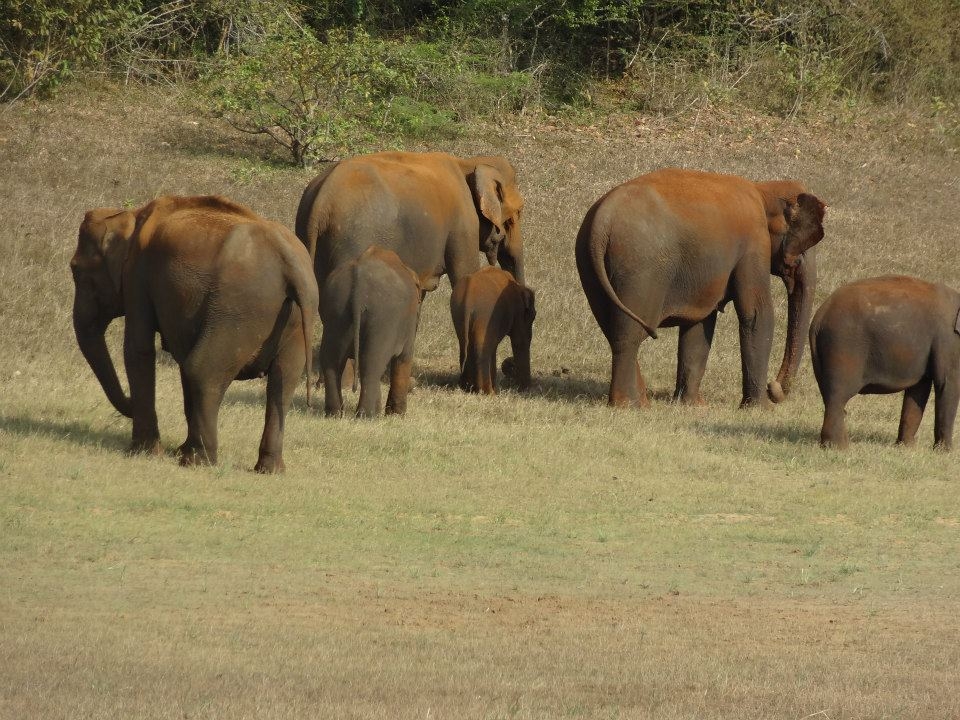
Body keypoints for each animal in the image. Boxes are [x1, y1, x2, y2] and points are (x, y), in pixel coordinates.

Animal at [70, 195, 318, 473]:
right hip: (293, 319)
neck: (130, 216)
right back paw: (268, 469)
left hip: (236, 309)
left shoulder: (137, 276)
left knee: (202, 370)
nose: (129, 402)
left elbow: (138, 349)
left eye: (76, 271)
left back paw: (196, 461)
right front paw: (173, 448)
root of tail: (289, 262)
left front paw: (144, 452)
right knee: (282, 383)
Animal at [294, 151, 526, 291]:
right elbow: (465, 277)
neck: (468, 164)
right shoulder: (462, 224)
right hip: (351, 240)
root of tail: (321, 201)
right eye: (518, 212)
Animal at [318, 246, 421, 417]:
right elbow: (404, 358)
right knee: (372, 363)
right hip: (383, 321)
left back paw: (335, 413)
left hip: (335, 312)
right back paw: (367, 415)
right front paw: (397, 415)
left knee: (331, 361)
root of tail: (359, 286)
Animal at [575, 168, 826, 409]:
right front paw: (761, 409)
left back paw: (640, 402)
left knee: (613, 330)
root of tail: (602, 221)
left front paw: (694, 406)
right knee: (630, 334)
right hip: (639, 268)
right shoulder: (755, 241)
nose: (773, 388)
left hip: (590, 266)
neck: (763, 189)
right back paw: (630, 405)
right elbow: (756, 313)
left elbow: (700, 322)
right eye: (806, 246)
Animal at [809, 275, 960, 450]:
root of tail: (819, 317)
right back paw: (839, 447)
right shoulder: (949, 340)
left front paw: (906, 447)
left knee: (829, 396)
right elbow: (947, 384)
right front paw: (944, 451)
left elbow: (918, 389)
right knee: (838, 395)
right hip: (842, 345)